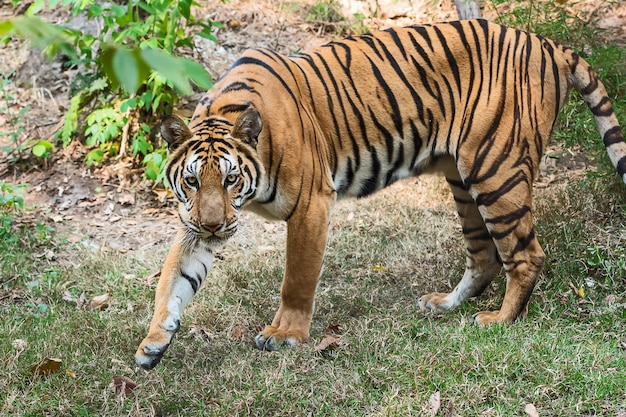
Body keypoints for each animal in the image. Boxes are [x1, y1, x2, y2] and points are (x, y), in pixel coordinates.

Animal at [134, 17, 624, 368]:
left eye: (231, 179)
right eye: (192, 181)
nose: (215, 225)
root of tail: (547, 44)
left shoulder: (312, 202)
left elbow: (297, 278)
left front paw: (286, 335)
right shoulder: (193, 222)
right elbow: (171, 279)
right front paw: (153, 343)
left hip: (495, 169)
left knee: (525, 254)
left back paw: (499, 321)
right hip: (463, 180)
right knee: (484, 255)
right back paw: (445, 304)